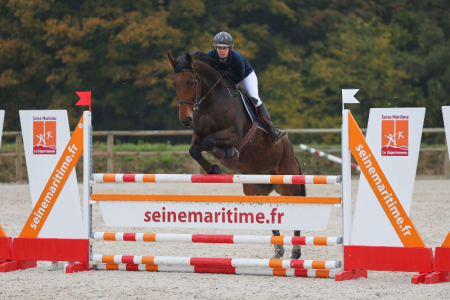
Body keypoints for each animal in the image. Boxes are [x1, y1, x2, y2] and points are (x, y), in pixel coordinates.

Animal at [168, 50, 306, 258]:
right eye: (174, 84)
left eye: (191, 83)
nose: (186, 119)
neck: (210, 102)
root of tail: (289, 147)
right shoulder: (198, 135)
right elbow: (195, 149)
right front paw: (214, 169)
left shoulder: (233, 134)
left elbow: (211, 142)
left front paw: (228, 154)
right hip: (255, 190)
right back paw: (278, 251)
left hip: (288, 184)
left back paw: (296, 252)